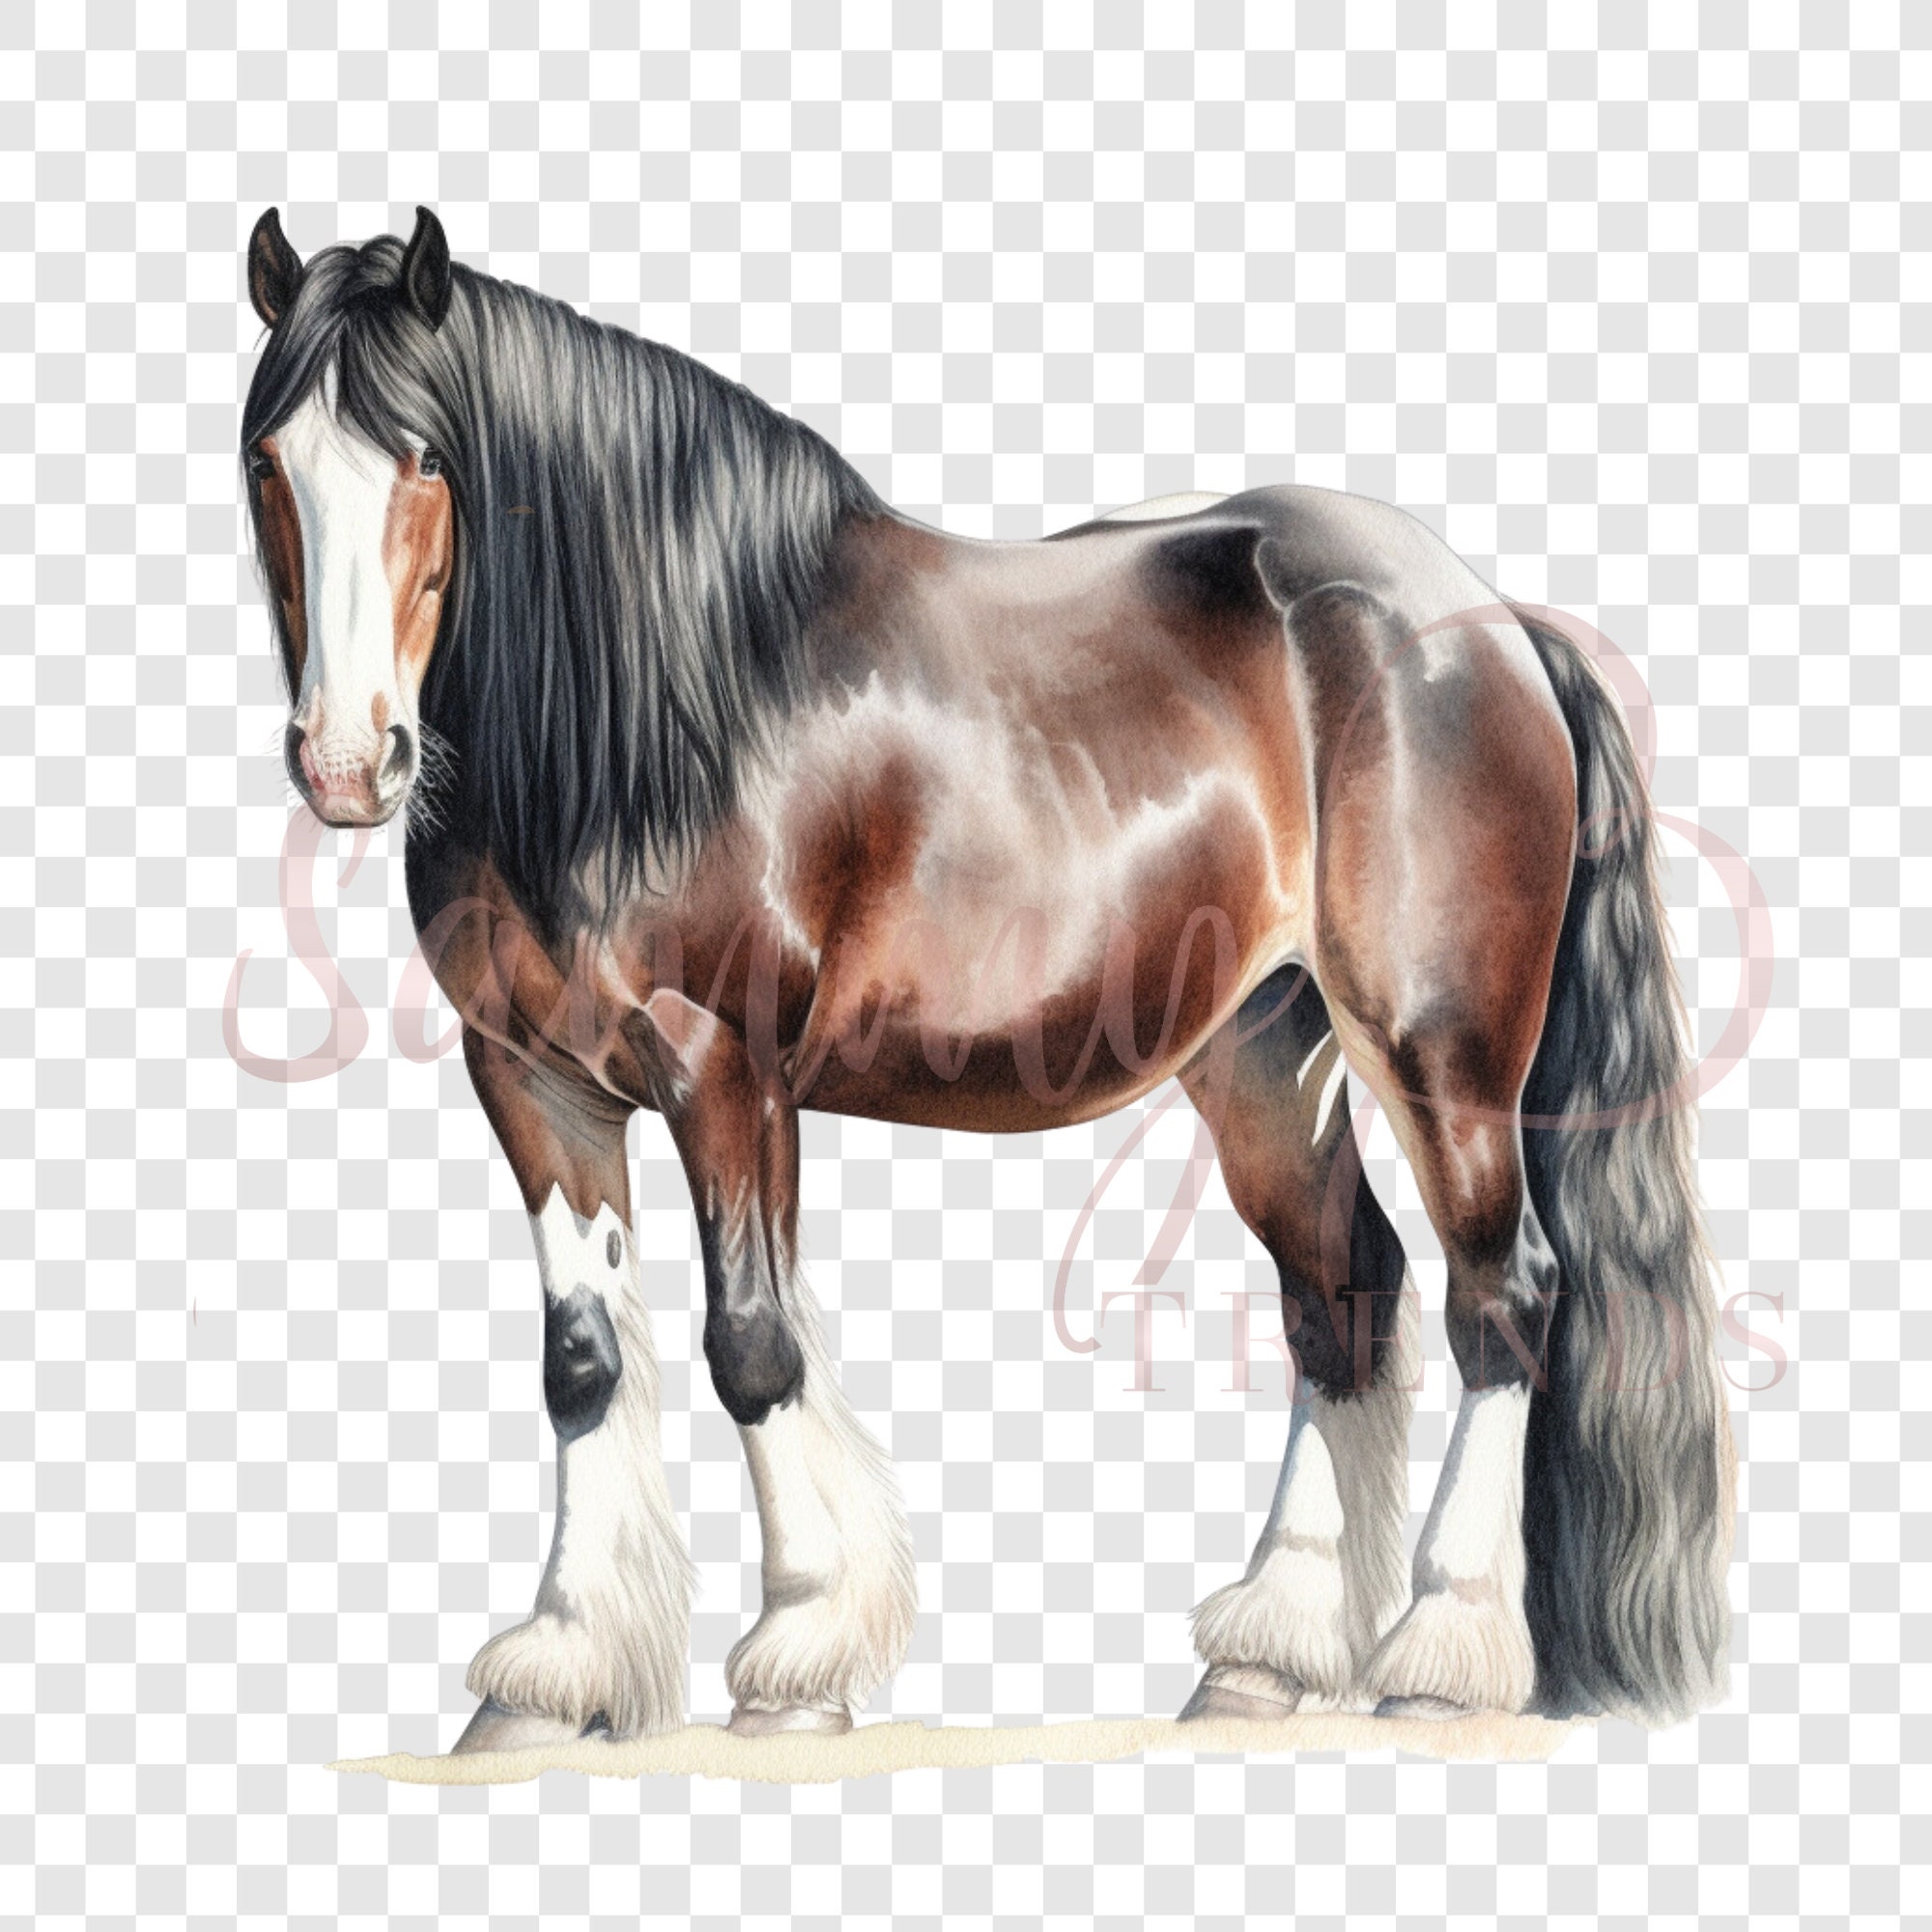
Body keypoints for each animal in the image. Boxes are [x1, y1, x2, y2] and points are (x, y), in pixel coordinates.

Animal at [239, 206, 1735, 1751]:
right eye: (268, 460)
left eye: (426, 457)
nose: (348, 761)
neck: (664, 713)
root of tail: (1487, 623)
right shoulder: (538, 1083)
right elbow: (583, 1360)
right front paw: (554, 1671)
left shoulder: (725, 1069)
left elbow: (752, 1345)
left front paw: (798, 1654)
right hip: (1269, 1054)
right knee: (1344, 1292)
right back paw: (1266, 1653)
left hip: (1440, 1052)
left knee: (1504, 1295)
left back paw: (1439, 1648)